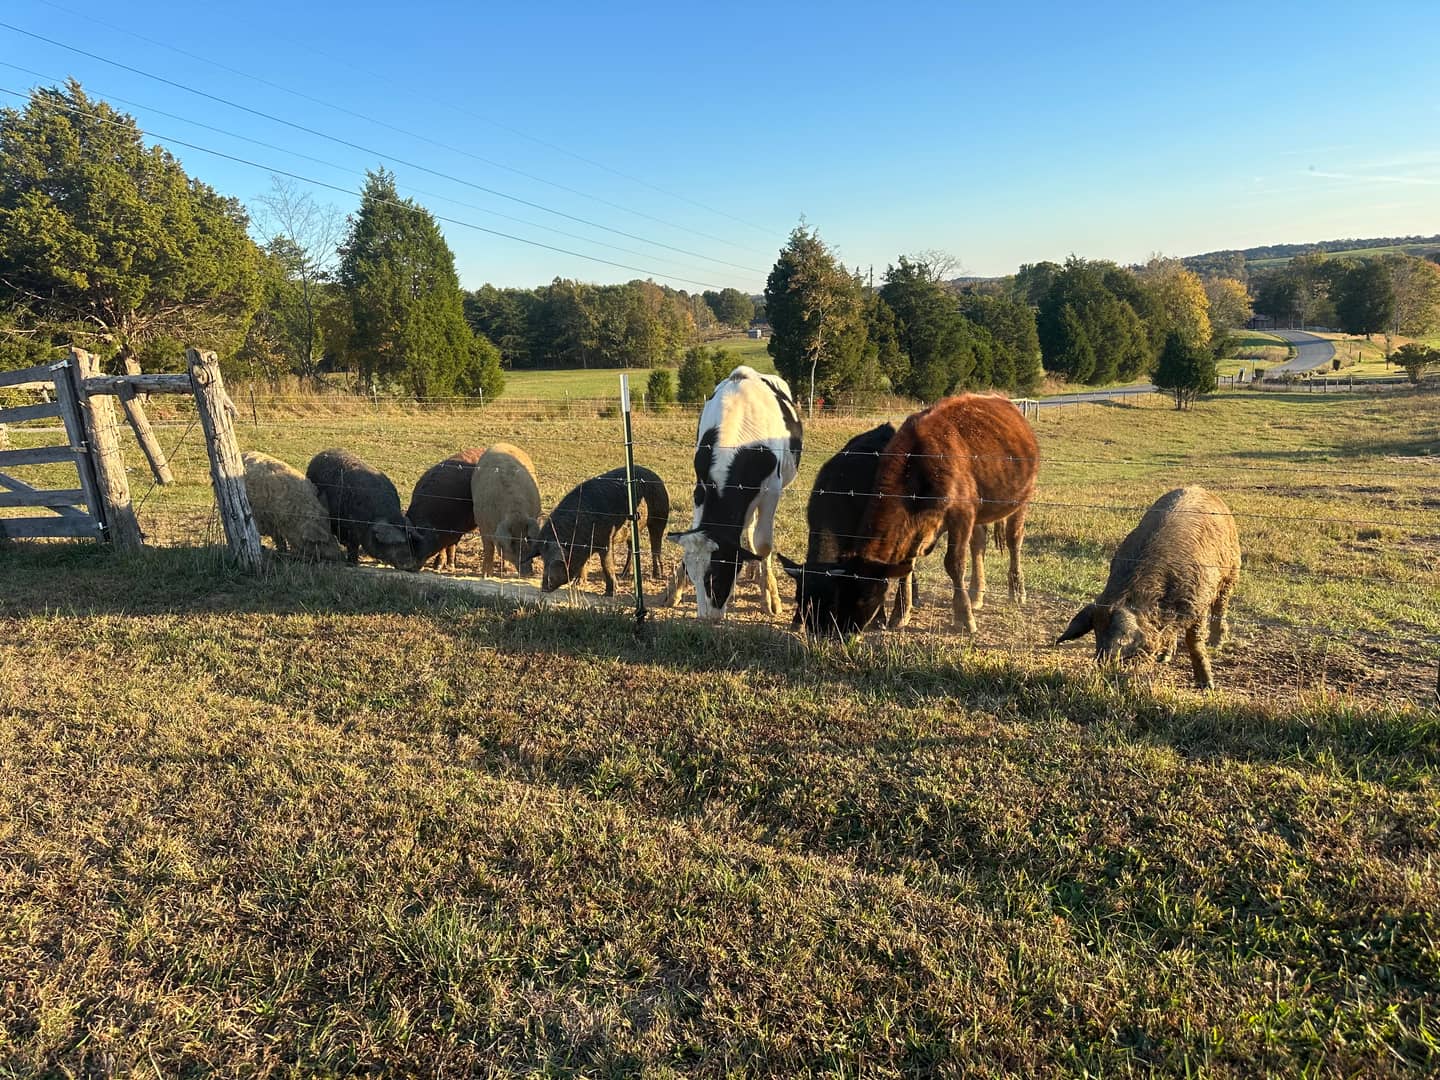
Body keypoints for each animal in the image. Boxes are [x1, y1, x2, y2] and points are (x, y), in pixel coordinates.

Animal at [470, 442, 542, 577]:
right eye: (512, 542)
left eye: (527, 539)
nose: (528, 573)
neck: (515, 513)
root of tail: (503, 443)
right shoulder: (482, 524)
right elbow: (489, 548)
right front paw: (486, 575)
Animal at [526, 466, 671, 595]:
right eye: (543, 558)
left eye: (557, 560)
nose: (544, 588)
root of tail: (656, 476)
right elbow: (585, 563)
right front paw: (577, 584)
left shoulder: (606, 540)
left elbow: (606, 564)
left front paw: (611, 593)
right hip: (631, 531)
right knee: (631, 548)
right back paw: (624, 574)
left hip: (660, 517)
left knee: (656, 545)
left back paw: (657, 575)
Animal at [662, 365, 802, 620]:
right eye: (692, 576)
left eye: (716, 575)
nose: (708, 618)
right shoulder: (700, 488)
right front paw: (674, 589)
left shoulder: (771, 491)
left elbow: (763, 544)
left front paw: (770, 598)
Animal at [1056, 485, 1241, 690]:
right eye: (1096, 634)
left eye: (1124, 643)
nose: (1102, 665)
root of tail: (1199, 489)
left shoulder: (1198, 600)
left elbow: (1194, 641)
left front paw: (1208, 685)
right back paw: (1165, 657)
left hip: (1232, 570)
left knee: (1220, 606)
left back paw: (1216, 643)